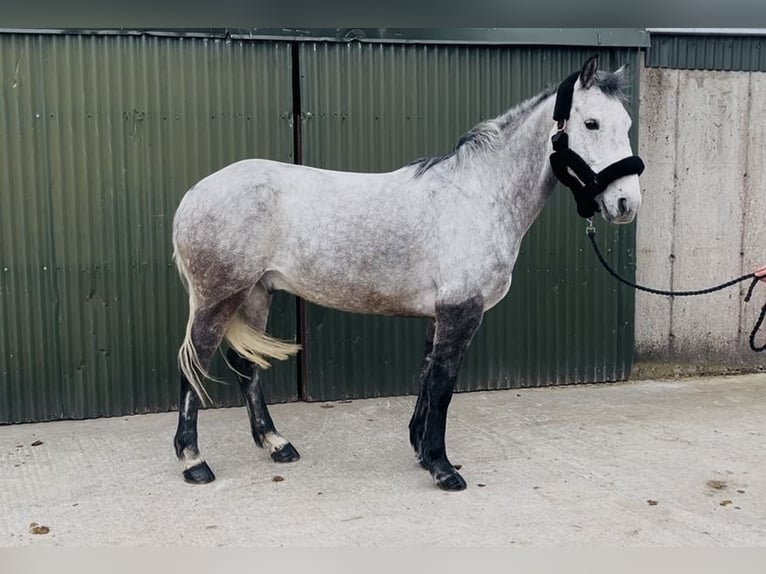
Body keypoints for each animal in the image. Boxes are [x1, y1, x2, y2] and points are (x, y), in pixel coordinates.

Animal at [171, 55, 644, 491]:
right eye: (592, 123)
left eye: (626, 123)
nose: (626, 204)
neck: (477, 197)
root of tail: (194, 194)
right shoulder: (461, 310)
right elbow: (443, 385)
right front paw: (443, 468)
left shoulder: (439, 313)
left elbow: (426, 378)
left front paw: (421, 451)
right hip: (219, 297)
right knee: (193, 363)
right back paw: (194, 461)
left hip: (255, 293)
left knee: (244, 366)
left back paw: (277, 444)